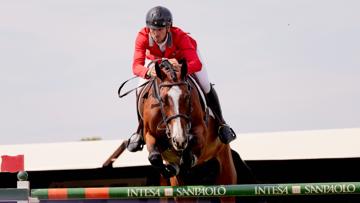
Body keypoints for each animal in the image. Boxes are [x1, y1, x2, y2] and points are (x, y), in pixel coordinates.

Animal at [142, 58, 238, 201]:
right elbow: (154, 156)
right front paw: (171, 168)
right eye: (162, 100)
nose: (179, 140)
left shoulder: (201, 131)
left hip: (226, 175)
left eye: (187, 97)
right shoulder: (149, 134)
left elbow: (190, 150)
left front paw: (187, 155)